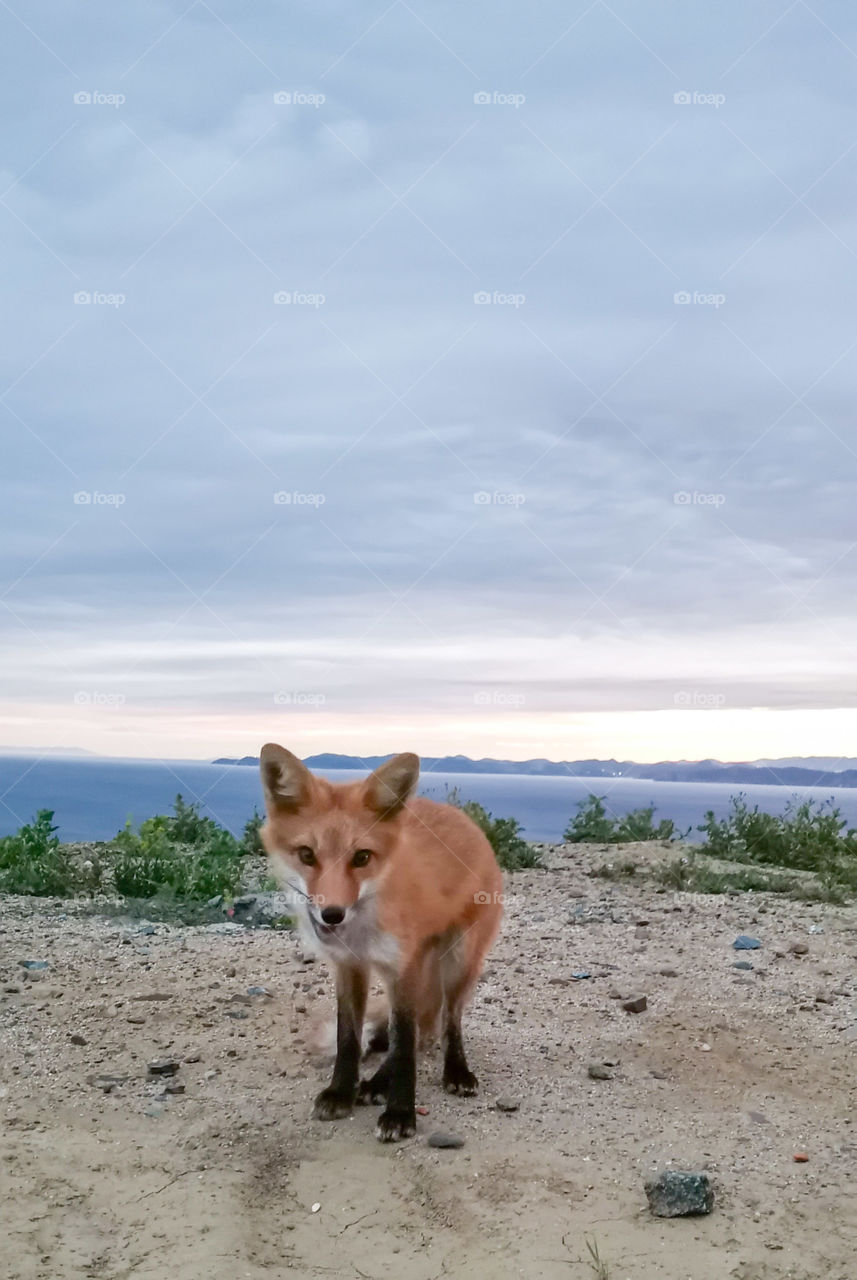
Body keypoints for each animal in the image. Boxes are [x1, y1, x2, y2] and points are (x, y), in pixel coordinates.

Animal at [259, 744, 503, 1142]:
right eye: (307, 855)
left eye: (362, 857)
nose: (332, 914)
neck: (364, 928)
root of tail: (463, 817)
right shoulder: (349, 966)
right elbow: (349, 1038)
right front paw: (341, 1092)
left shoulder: (402, 969)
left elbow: (403, 1045)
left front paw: (401, 1113)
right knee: (422, 1031)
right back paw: (375, 1083)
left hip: (459, 960)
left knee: (445, 1021)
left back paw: (453, 1071)